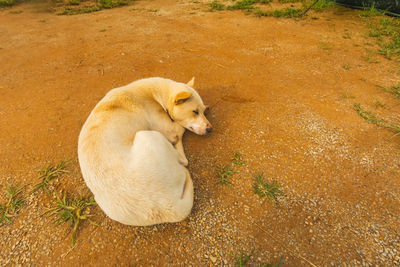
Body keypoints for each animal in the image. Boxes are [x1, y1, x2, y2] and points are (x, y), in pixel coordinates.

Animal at [76, 77, 211, 226]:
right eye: (194, 111)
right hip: (148, 135)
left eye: (201, 111)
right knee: (183, 161)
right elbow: (180, 129)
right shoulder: (169, 129)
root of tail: (170, 208)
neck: (154, 93)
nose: (209, 129)